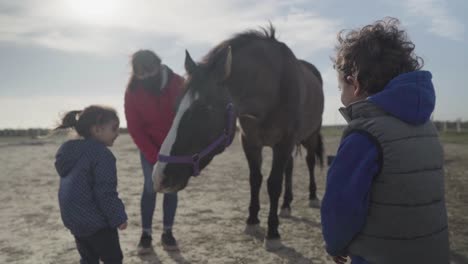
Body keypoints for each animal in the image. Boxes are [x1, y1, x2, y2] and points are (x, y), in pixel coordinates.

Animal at [152, 25, 324, 251]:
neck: (274, 87)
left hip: (310, 137)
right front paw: (252, 221)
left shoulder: (283, 143)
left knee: (310, 162)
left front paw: (273, 233)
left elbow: (273, 184)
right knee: (290, 168)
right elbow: (255, 180)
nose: (159, 177)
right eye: (176, 106)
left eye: (204, 110)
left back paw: (312, 197)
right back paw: (286, 205)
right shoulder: (250, 142)